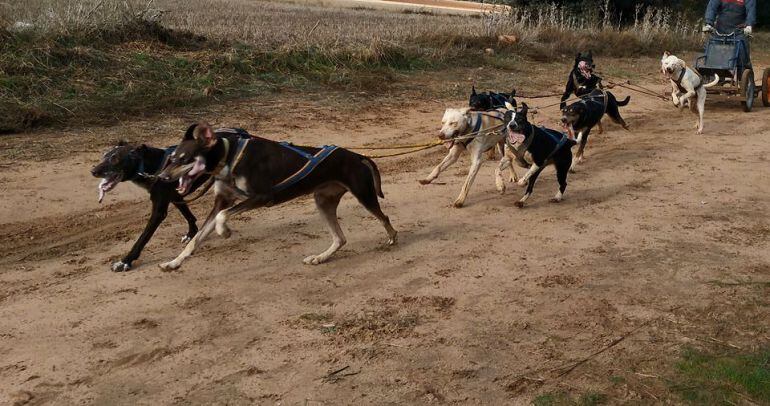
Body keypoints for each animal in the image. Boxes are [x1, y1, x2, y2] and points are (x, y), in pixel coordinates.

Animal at [91, 141, 212, 272]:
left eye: (115, 159)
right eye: (104, 156)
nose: (93, 171)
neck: (151, 166)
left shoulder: (158, 212)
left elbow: (142, 238)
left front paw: (125, 261)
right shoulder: (175, 196)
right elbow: (188, 215)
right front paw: (191, 233)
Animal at [154, 122, 396, 272]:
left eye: (184, 158)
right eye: (172, 158)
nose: (161, 177)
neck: (231, 156)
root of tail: (357, 155)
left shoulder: (262, 197)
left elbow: (223, 216)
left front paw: (225, 231)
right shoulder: (223, 201)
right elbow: (195, 239)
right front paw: (174, 262)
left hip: (364, 195)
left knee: (385, 219)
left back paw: (391, 239)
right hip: (323, 201)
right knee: (340, 238)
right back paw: (320, 257)